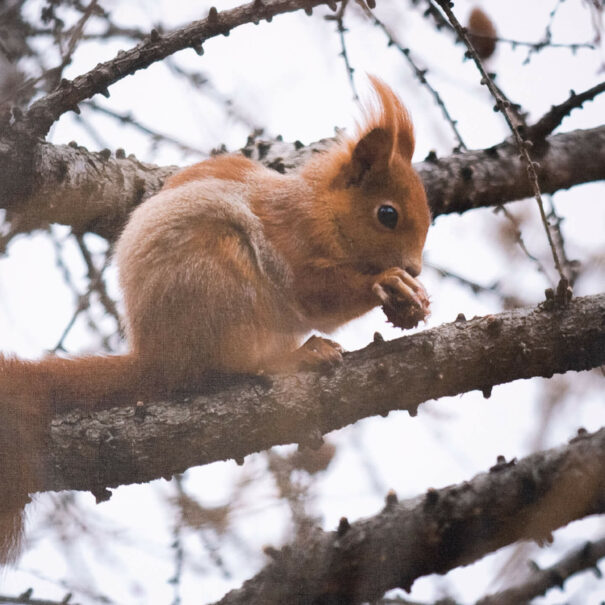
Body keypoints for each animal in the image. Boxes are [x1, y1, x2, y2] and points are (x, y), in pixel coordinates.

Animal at [2, 78, 432, 564]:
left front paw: (414, 298)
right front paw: (387, 282)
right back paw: (298, 356)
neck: (321, 209)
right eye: (387, 214)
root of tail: (158, 359)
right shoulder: (292, 242)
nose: (415, 268)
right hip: (219, 278)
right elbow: (316, 295)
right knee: (232, 366)